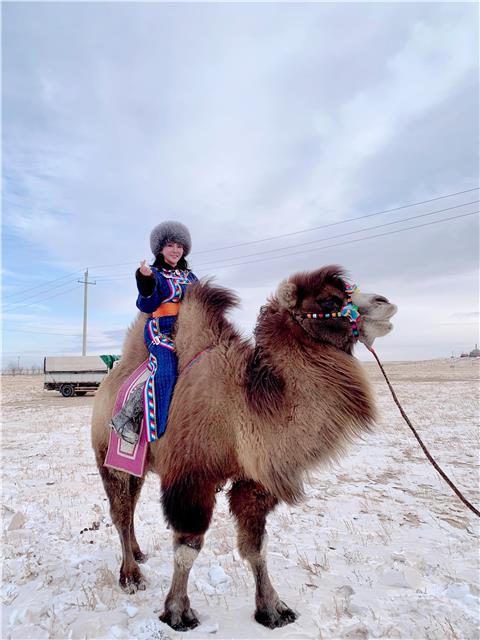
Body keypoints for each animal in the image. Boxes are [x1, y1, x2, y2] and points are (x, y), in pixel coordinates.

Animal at [91, 264, 398, 632]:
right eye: (329, 300)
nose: (385, 302)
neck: (241, 407)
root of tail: (110, 379)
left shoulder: (254, 481)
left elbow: (256, 546)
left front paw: (273, 609)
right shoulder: (191, 477)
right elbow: (188, 547)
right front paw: (178, 612)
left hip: (137, 465)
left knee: (131, 507)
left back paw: (137, 553)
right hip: (108, 457)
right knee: (120, 512)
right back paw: (131, 576)